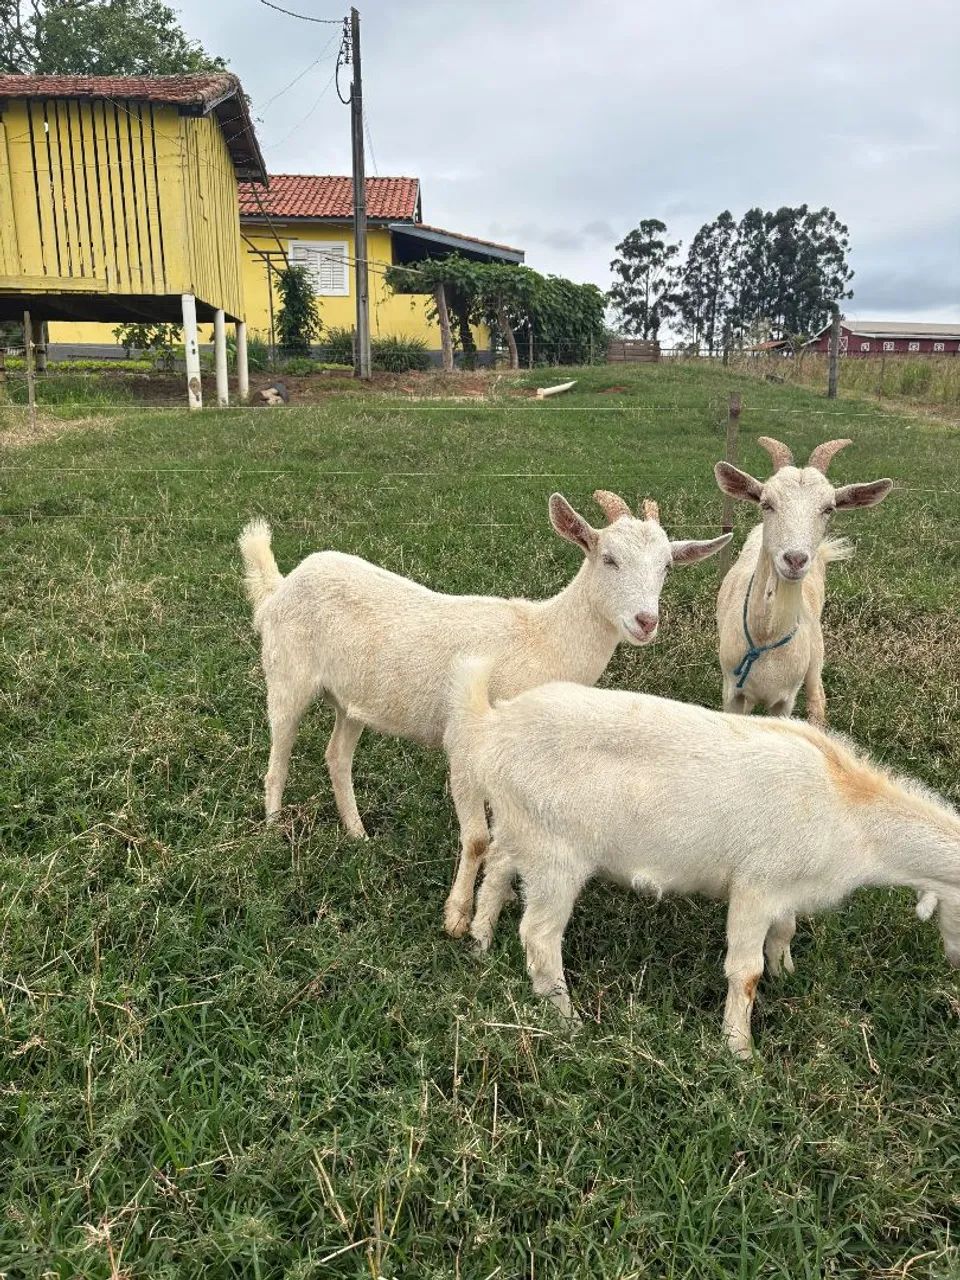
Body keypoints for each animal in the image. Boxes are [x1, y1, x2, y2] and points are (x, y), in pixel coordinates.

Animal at [239, 494, 731, 936]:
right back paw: (273, 829)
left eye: (667, 567)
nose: (646, 621)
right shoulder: (464, 742)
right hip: (287, 674)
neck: (544, 638)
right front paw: (456, 916)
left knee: (337, 756)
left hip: (351, 700)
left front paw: (504, 893)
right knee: (278, 756)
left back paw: (357, 833)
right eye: (608, 558)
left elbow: (503, 835)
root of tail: (281, 586)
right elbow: (477, 838)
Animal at [446, 660, 960, 1058]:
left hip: (521, 824)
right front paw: (739, 1050)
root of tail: (493, 726)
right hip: (557, 853)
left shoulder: (788, 888)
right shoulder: (756, 885)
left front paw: (787, 973)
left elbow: (785, 932)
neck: (847, 806)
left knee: (498, 866)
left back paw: (480, 941)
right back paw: (568, 1022)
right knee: (539, 935)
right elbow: (745, 972)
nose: (954, 963)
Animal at [714, 437, 892, 723]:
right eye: (766, 503)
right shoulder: (731, 690)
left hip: (816, 649)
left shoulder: (785, 700)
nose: (795, 559)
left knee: (817, 694)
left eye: (829, 508)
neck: (765, 638)